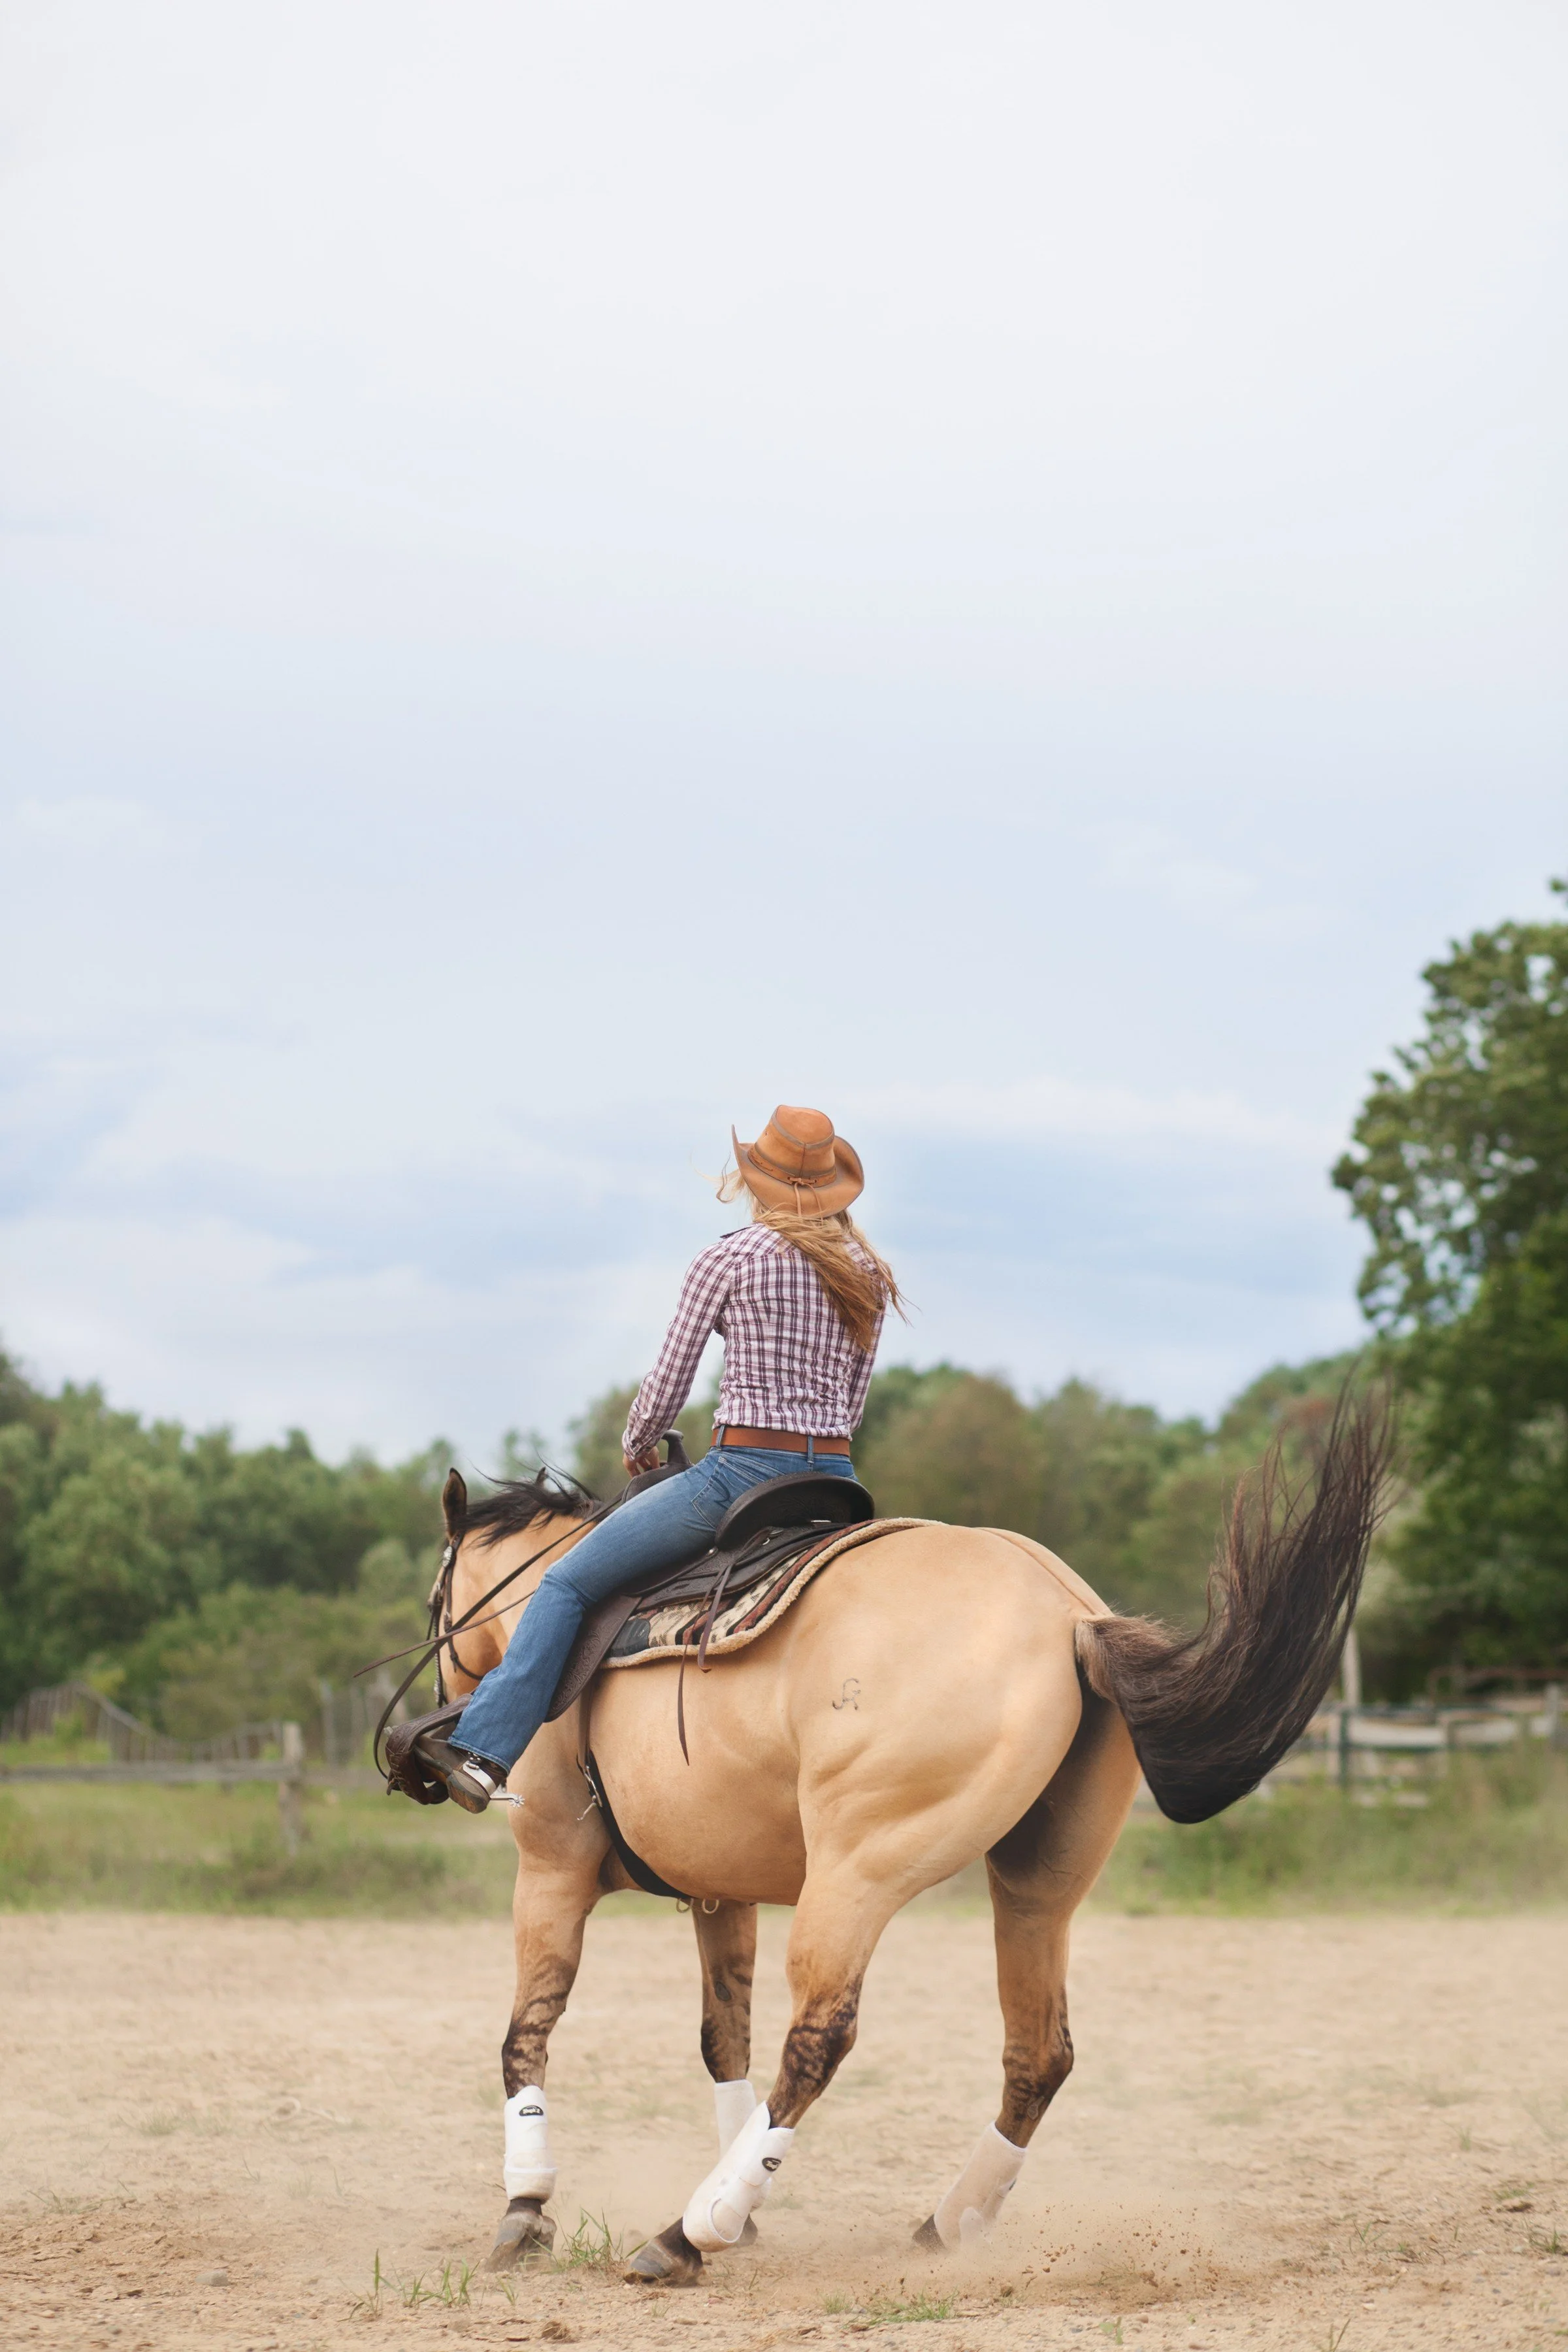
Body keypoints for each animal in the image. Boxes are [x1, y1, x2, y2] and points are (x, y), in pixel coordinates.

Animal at [429, 1391, 1387, 2286]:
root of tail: (1068, 1617)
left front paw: (527, 2208)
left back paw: (690, 2231)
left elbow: (526, 2030)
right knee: (1038, 2052)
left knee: (819, 2038)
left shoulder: (550, 1866)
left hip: (856, 1873)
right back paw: (945, 2220)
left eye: (436, 1599)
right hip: (1038, 1886)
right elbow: (721, 2037)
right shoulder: (718, 1887)